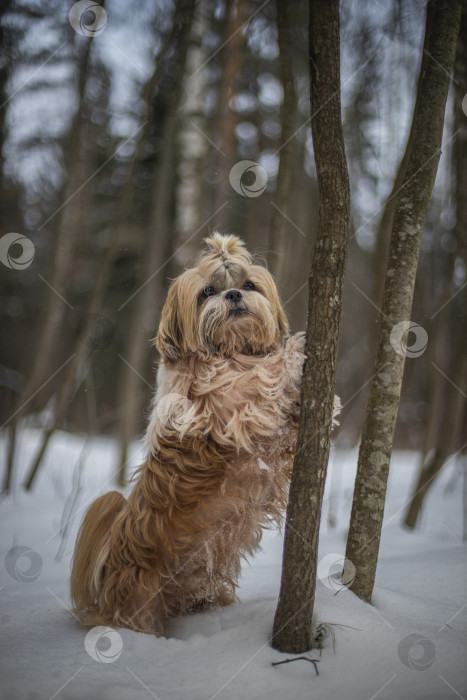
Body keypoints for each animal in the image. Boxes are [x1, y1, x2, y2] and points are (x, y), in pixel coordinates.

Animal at [69, 234, 338, 636]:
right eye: (209, 291)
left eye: (249, 285)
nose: (233, 295)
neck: (231, 352)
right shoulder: (228, 407)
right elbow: (259, 381)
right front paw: (293, 353)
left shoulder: (274, 446)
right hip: (141, 605)